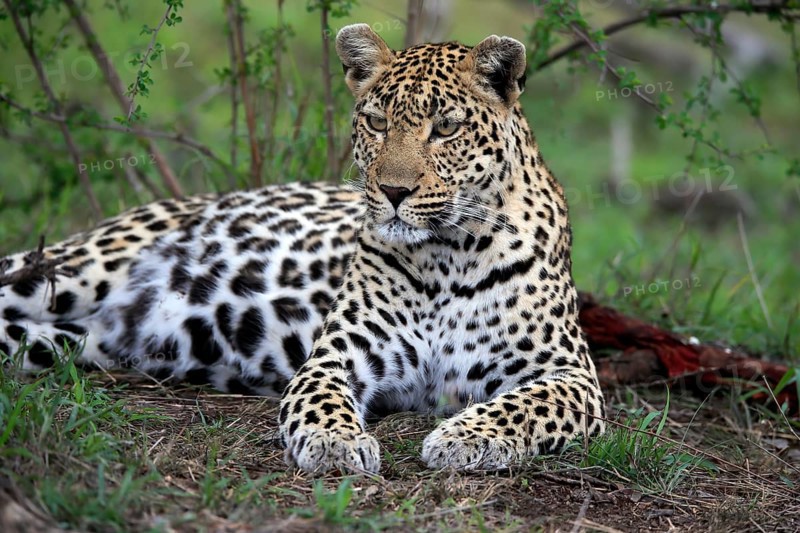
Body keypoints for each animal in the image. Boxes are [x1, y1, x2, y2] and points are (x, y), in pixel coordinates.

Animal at [0, 24, 605, 473]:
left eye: (446, 128)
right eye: (376, 122)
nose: (393, 191)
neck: (447, 256)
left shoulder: (571, 375)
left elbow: (522, 407)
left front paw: (462, 437)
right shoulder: (337, 355)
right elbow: (322, 399)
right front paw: (336, 443)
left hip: (63, 340)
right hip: (69, 270)